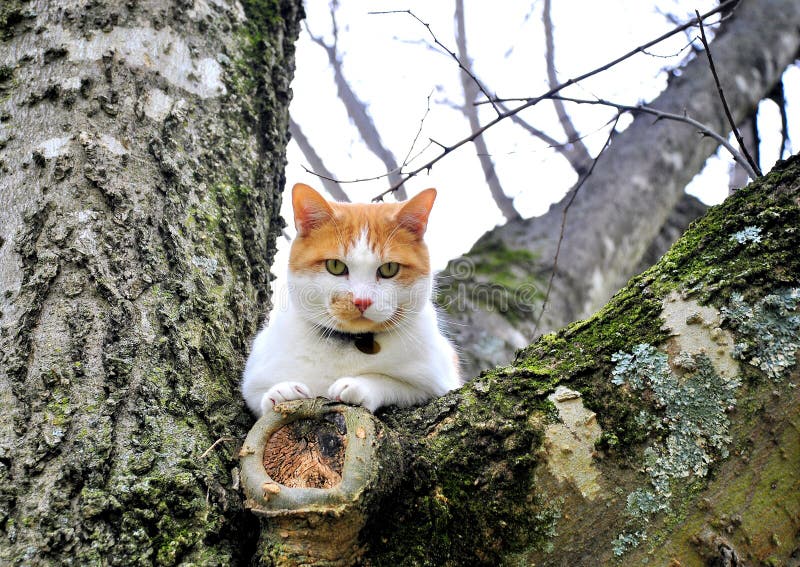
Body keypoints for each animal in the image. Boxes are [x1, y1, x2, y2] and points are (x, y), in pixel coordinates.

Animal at [241, 184, 460, 414]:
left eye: (389, 269)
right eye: (335, 266)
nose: (362, 301)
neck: (348, 342)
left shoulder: (436, 384)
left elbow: (388, 381)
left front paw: (357, 384)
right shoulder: (254, 380)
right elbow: (258, 398)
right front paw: (282, 391)